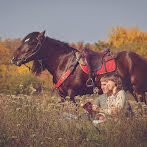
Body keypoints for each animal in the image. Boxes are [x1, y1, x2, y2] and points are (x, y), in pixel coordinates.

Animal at [11, 31, 147, 103]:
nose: (14, 58)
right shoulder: (63, 96)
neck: (64, 62)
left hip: (139, 91)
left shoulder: (72, 95)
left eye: (32, 42)